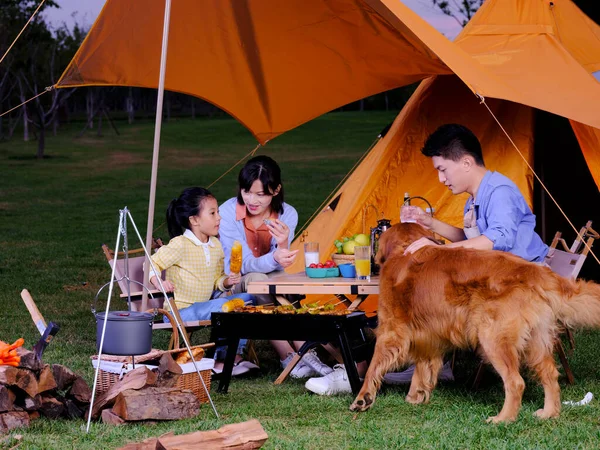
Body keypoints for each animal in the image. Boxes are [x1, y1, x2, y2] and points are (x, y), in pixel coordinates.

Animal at [350, 223, 600, 424]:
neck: (406, 247)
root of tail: (535, 272)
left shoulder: (391, 330)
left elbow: (373, 366)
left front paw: (362, 399)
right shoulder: (429, 335)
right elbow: (422, 368)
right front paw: (415, 396)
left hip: (492, 338)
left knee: (516, 382)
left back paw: (503, 419)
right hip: (536, 341)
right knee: (550, 375)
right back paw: (548, 413)